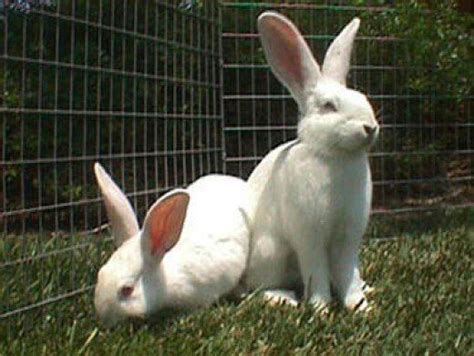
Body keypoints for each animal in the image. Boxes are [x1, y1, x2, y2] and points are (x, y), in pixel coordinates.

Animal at [243, 11, 380, 312]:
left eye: (363, 98)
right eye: (329, 106)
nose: (370, 127)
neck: (335, 155)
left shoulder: (348, 237)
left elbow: (348, 271)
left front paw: (360, 306)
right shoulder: (310, 237)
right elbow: (316, 270)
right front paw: (321, 309)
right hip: (271, 253)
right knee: (255, 288)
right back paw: (284, 298)